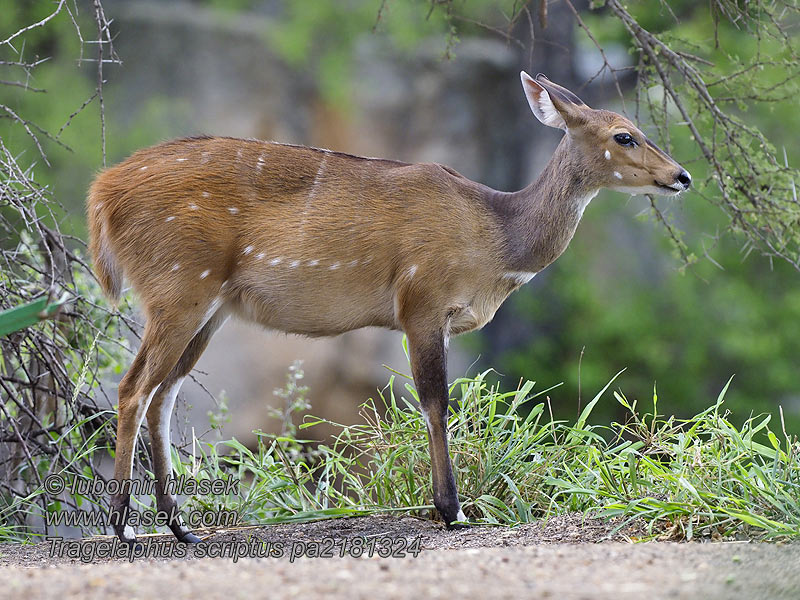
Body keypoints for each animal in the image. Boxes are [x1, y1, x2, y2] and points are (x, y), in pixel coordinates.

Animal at [86, 72, 688, 548]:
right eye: (624, 135)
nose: (681, 176)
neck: (497, 239)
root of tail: (101, 194)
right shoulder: (421, 300)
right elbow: (435, 402)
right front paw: (453, 511)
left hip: (210, 307)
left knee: (163, 394)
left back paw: (180, 527)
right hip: (178, 287)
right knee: (133, 388)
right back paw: (123, 525)